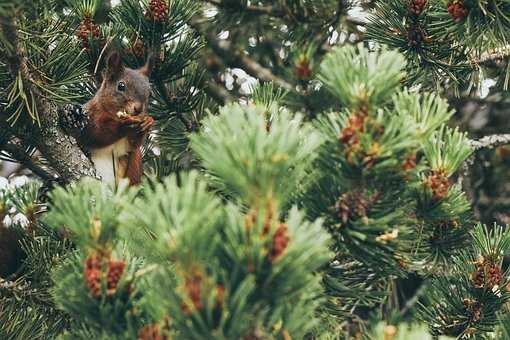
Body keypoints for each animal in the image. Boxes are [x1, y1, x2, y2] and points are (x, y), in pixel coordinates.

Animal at [78, 49, 154, 186]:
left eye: (150, 93)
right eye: (121, 86)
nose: (138, 109)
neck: (113, 115)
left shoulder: (128, 146)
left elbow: (134, 144)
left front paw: (147, 122)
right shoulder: (90, 117)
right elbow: (96, 134)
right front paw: (123, 125)